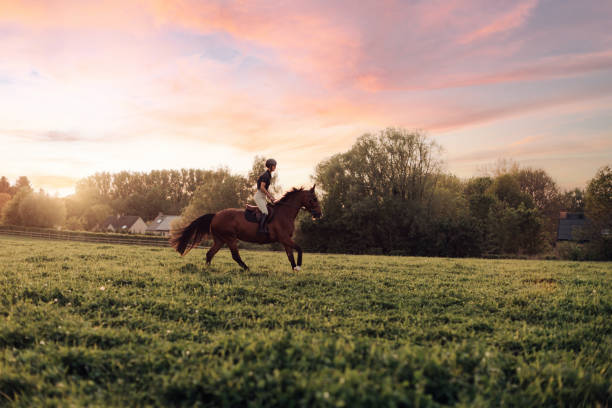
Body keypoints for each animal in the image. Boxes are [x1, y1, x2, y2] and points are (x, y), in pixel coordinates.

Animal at [167, 186, 320, 270]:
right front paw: (299, 266)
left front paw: (295, 268)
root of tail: (215, 215)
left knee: (210, 253)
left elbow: (290, 255)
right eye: (314, 199)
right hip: (230, 238)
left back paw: (208, 269)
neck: (284, 213)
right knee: (235, 255)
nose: (319, 214)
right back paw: (247, 268)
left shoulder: (285, 240)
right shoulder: (284, 238)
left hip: (220, 240)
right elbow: (299, 249)